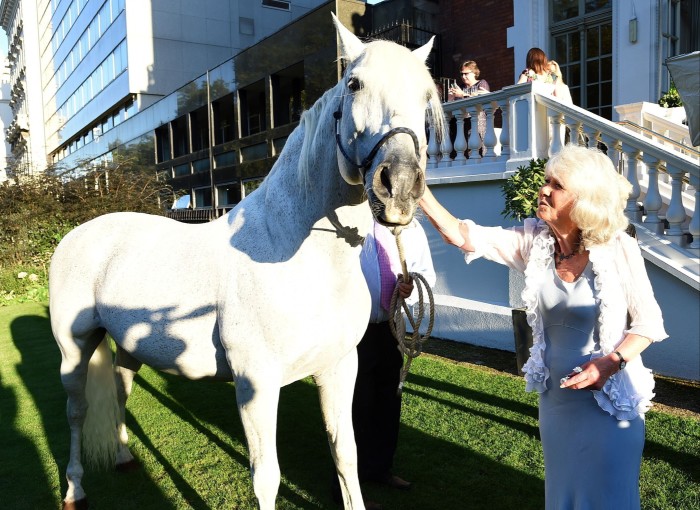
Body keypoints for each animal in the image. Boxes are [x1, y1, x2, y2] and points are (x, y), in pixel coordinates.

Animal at [49, 15, 442, 510]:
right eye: (354, 84)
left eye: (425, 97)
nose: (400, 186)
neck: (296, 253)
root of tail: (76, 236)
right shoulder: (256, 383)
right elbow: (267, 476)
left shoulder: (338, 368)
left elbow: (346, 455)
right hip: (74, 347)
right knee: (75, 410)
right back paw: (74, 487)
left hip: (128, 345)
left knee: (121, 390)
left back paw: (122, 456)